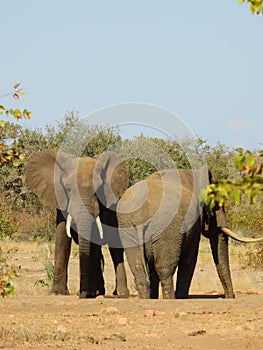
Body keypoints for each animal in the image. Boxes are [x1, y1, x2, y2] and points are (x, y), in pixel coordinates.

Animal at [25, 148, 130, 298]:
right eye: (68, 188)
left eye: (98, 190)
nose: (82, 295)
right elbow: (62, 239)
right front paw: (57, 293)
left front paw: (89, 293)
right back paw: (100, 291)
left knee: (115, 249)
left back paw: (119, 293)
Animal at [118, 168, 263, 300]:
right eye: (217, 203)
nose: (229, 297)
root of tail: (140, 215)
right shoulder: (195, 222)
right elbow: (190, 258)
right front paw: (181, 297)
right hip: (167, 229)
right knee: (164, 269)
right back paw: (171, 299)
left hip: (127, 228)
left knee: (139, 268)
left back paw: (147, 298)